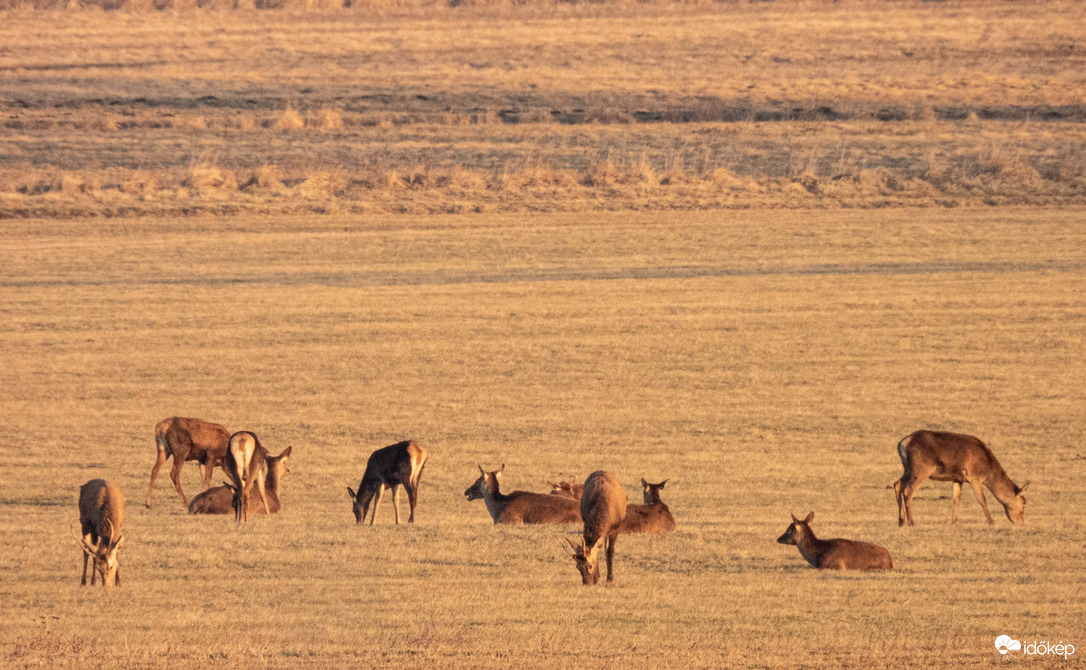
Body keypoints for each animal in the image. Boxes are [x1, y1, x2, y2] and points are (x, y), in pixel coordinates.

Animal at [886, 427, 1029, 527]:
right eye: (1023, 503)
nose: (1021, 523)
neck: (988, 468)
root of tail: (903, 443)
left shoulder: (957, 478)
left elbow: (956, 499)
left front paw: (954, 522)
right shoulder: (974, 477)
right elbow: (982, 499)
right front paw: (991, 522)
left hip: (907, 468)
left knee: (897, 484)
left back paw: (901, 521)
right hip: (920, 469)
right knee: (907, 491)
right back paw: (911, 522)